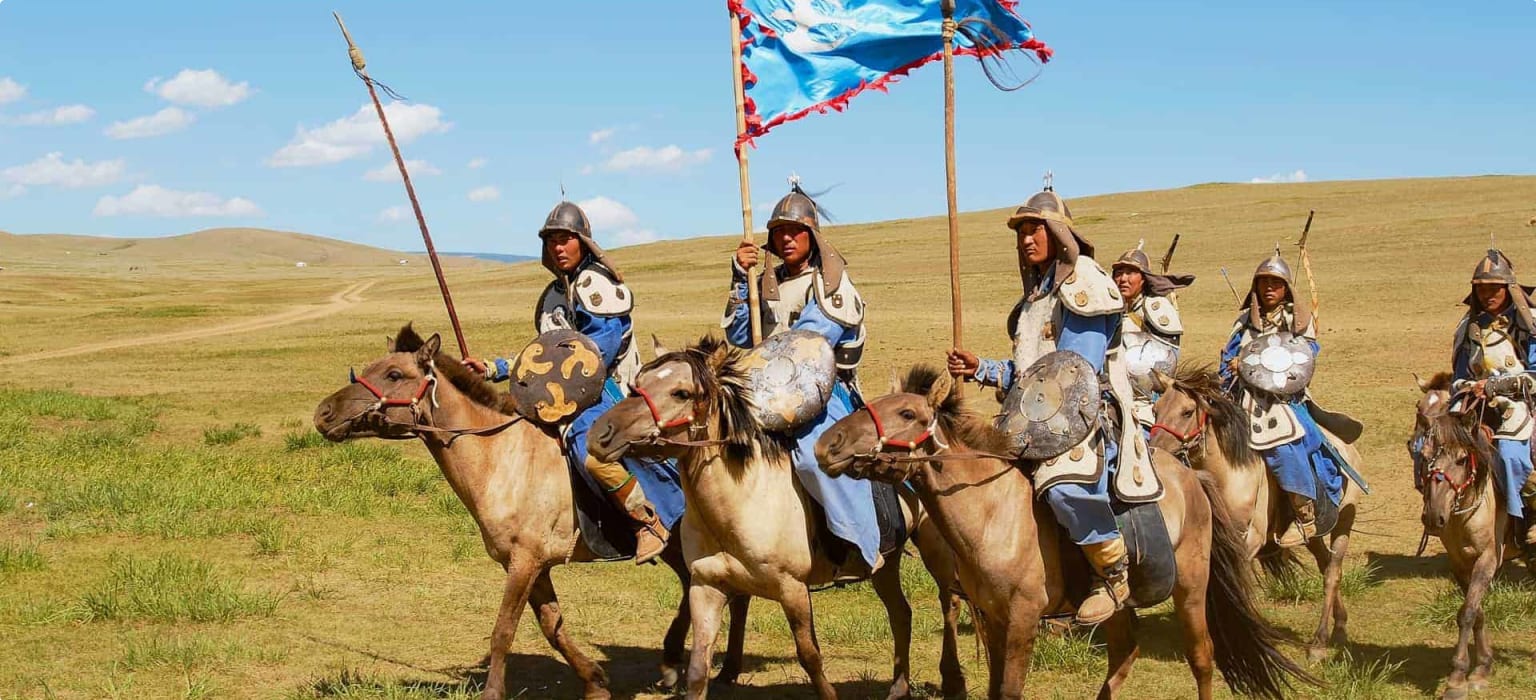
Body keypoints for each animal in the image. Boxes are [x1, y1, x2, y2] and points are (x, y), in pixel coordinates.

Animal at [311, 325, 743, 696]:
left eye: (394, 374)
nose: (323, 414)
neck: (501, 458)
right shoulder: (529, 565)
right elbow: (552, 625)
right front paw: (595, 682)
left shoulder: (524, 562)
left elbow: (503, 630)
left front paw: (493, 692)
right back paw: (686, 664)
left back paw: (704, 666)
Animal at [583, 337, 958, 700]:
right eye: (638, 383)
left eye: (681, 393)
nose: (601, 433)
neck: (740, 502)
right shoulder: (705, 587)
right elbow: (698, 668)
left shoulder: (792, 589)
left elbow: (810, 655)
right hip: (886, 563)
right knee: (901, 614)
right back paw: (898, 688)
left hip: (938, 548)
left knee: (950, 602)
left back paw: (950, 678)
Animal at [811, 366, 1314, 700]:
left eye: (907, 413)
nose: (827, 445)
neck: (993, 511)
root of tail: (1192, 477)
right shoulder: (992, 618)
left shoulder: (1023, 618)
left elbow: (1009, 692)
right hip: (1119, 608)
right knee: (1125, 653)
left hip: (1191, 586)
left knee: (1202, 657)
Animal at [1148, 366, 1363, 663]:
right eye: (1155, 410)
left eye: (1187, 412)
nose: (1156, 450)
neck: (1229, 473)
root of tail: (1346, 447)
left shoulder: (1250, 539)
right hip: (1315, 532)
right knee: (1325, 564)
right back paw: (1340, 626)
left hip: (1344, 521)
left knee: (1333, 572)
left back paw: (1319, 643)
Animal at [1406, 374, 1523, 696]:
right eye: (1427, 457)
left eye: (1461, 460)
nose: (1433, 517)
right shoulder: (1459, 562)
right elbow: (1475, 611)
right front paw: (1482, 666)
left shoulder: (1488, 558)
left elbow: (1468, 612)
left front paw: (1457, 678)